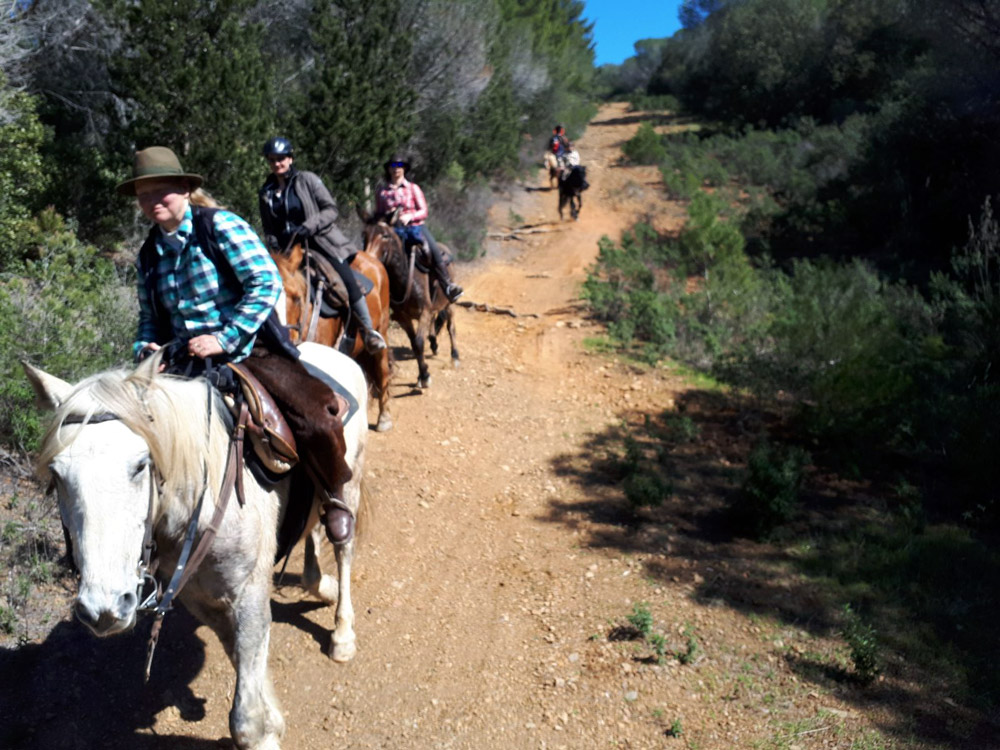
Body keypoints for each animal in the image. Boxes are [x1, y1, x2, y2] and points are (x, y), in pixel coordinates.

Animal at [25, 346, 370, 750]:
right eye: (58, 474)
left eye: (140, 465)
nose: (102, 610)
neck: (198, 502)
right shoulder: (201, 599)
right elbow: (243, 659)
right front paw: (273, 717)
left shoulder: (250, 592)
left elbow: (246, 719)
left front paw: (265, 727)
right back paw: (320, 585)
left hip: (349, 486)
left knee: (342, 545)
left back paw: (342, 634)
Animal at [358, 212, 458, 388]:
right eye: (365, 235)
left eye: (385, 235)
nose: (368, 259)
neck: (405, 279)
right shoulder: (404, 318)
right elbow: (414, 344)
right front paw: (423, 374)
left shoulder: (424, 312)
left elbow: (418, 342)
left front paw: (424, 376)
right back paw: (434, 344)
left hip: (449, 303)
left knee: (450, 327)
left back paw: (455, 356)